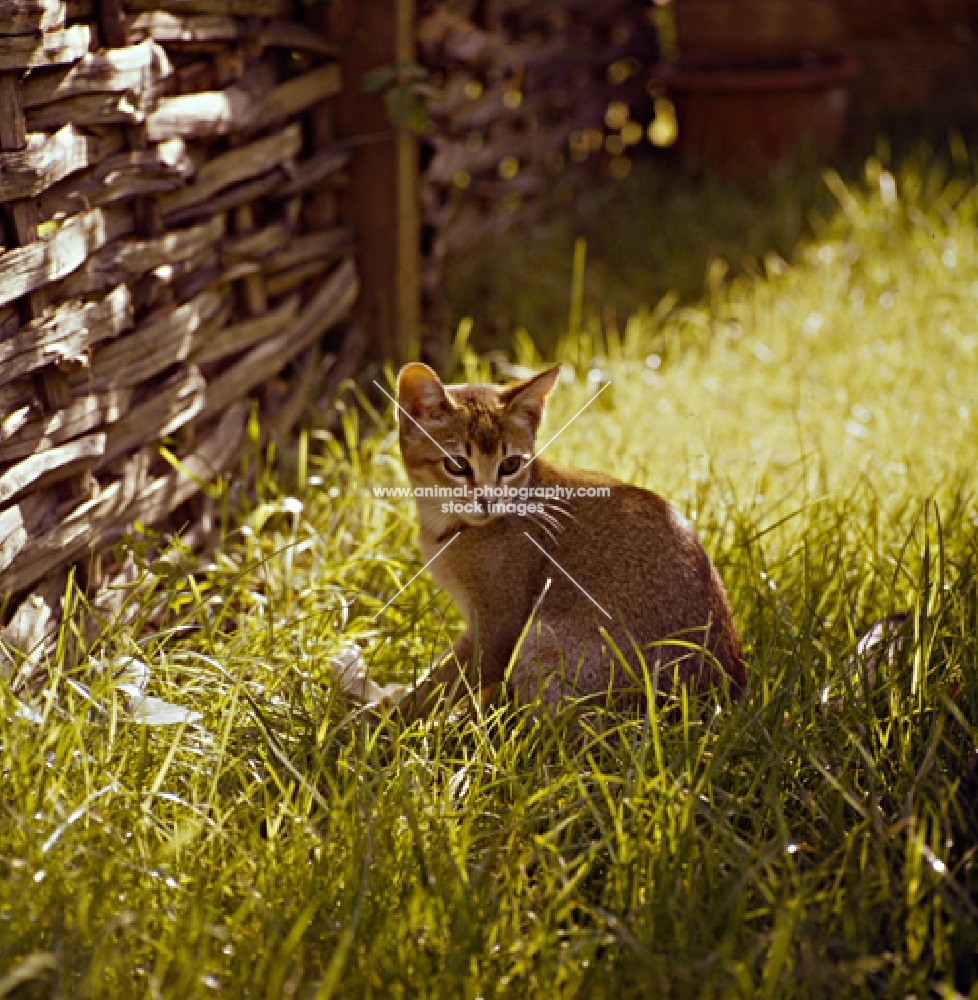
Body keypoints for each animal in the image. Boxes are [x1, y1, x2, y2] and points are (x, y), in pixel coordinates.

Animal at [340, 364, 744, 716]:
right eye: (456, 465)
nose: (488, 500)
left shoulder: (497, 629)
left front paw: (373, 723)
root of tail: (722, 699)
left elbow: (436, 687)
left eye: (510, 464)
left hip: (543, 641)